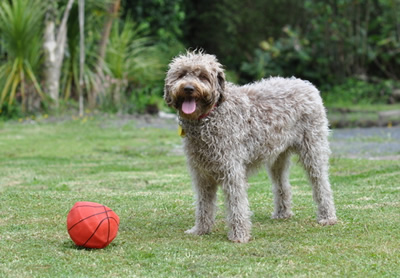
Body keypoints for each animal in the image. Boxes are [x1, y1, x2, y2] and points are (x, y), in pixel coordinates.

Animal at [164, 51, 336, 242]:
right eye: (181, 75)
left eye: (202, 76)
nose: (188, 88)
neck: (210, 116)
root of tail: (306, 85)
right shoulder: (201, 174)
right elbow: (204, 204)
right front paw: (201, 229)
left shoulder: (231, 170)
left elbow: (236, 204)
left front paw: (239, 235)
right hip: (278, 157)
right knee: (282, 184)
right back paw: (282, 214)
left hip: (313, 150)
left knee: (321, 183)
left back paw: (327, 217)